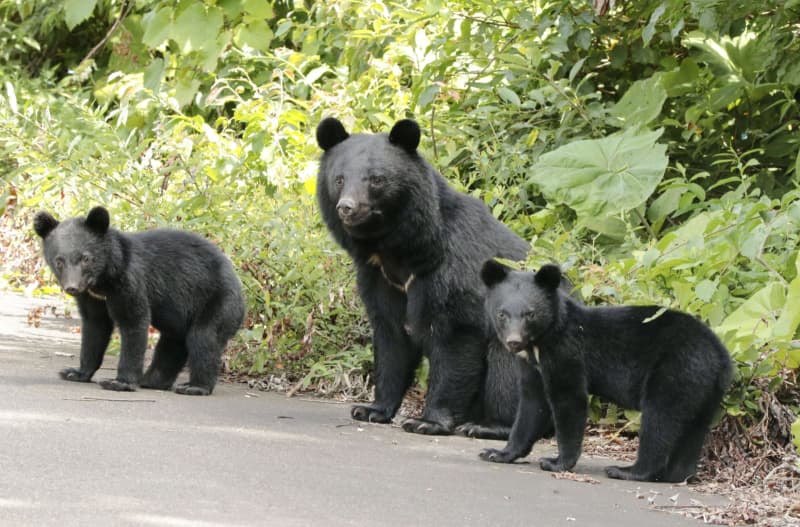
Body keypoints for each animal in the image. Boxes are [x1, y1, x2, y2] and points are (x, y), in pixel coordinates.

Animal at [32, 206, 244, 396]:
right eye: (59, 261)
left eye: (85, 258)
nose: (72, 287)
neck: (103, 281)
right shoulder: (91, 297)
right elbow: (95, 327)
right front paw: (75, 372)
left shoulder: (129, 282)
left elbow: (133, 322)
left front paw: (120, 382)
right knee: (173, 342)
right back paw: (152, 380)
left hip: (217, 301)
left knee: (204, 337)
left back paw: (195, 386)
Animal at [316, 117, 552, 440]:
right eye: (339, 179)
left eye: (376, 179)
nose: (347, 207)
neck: (399, 250)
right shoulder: (379, 278)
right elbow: (391, 336)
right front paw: (371, 409)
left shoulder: (452, 270)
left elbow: (455, 338)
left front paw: (427, 421)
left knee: (508, 368)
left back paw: (489, 426)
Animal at [478, 260, 736, 482]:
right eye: (502, 314)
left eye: (530, 314)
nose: (513, 342)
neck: (540, 344)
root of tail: (721, 354)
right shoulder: (533, 366)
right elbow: (532, 405)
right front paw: (498, 453)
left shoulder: (566, 353)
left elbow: (569, 400)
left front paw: (556, 462)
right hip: (703, 387)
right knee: (693, 429)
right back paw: (675, 474)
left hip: (675, 371)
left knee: (659, 419)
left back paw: (628, 470)